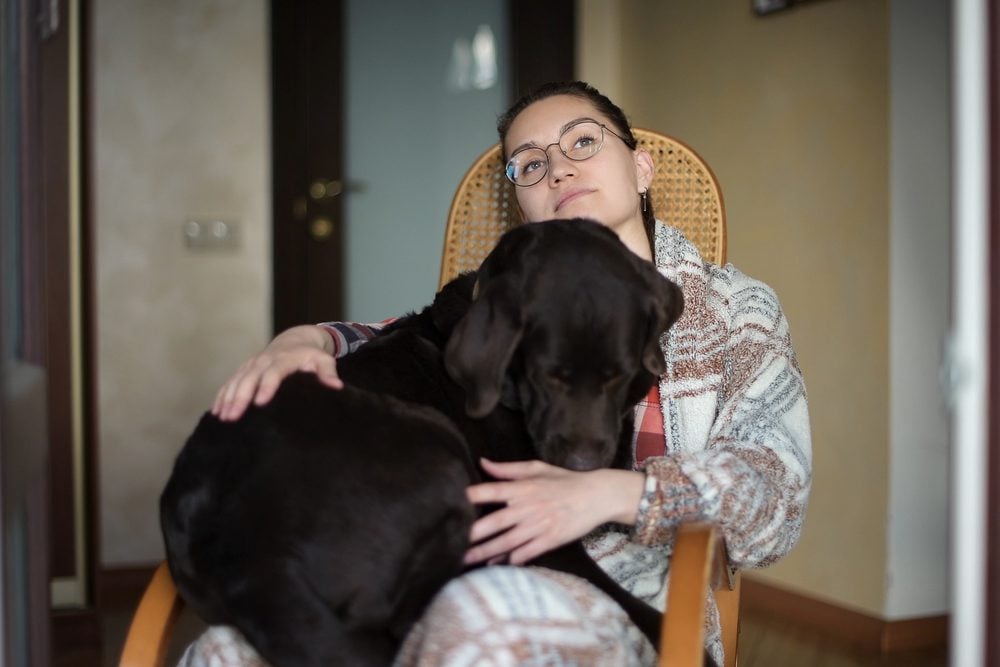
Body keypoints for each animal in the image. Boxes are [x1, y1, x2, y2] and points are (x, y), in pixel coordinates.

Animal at [164, 220, 692, 667]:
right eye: (548, 376)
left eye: (616, 374)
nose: (582, 464)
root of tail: (248, 561)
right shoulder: (538, 527)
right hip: (438, 445)